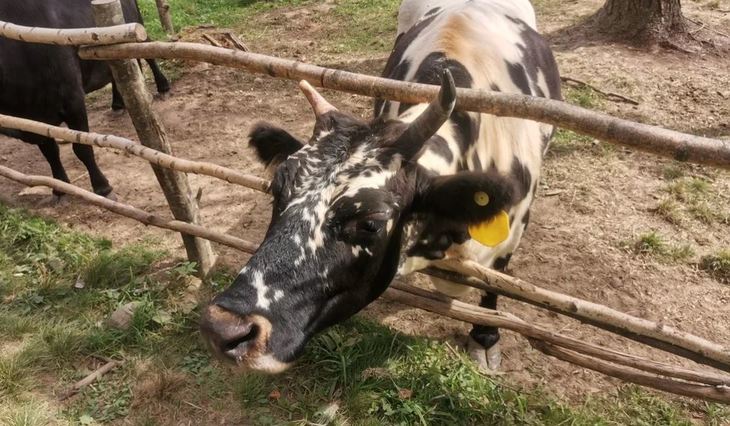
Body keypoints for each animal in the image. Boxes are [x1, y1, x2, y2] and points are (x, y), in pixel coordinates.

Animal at [0, 0, 170, 200]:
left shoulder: (73, 102)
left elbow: (82, 148)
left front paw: (103, 187)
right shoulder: (33, 120)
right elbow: (50, 152)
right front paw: (60, 188)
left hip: (133, 26)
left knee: (148, 48)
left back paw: (163, 86)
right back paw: (118, 104)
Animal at [200, 0, 561, 373]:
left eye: (370, 223)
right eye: (277, 191)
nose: (224, 327)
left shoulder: (510, 237)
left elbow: (494, 287)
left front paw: (486, 338)